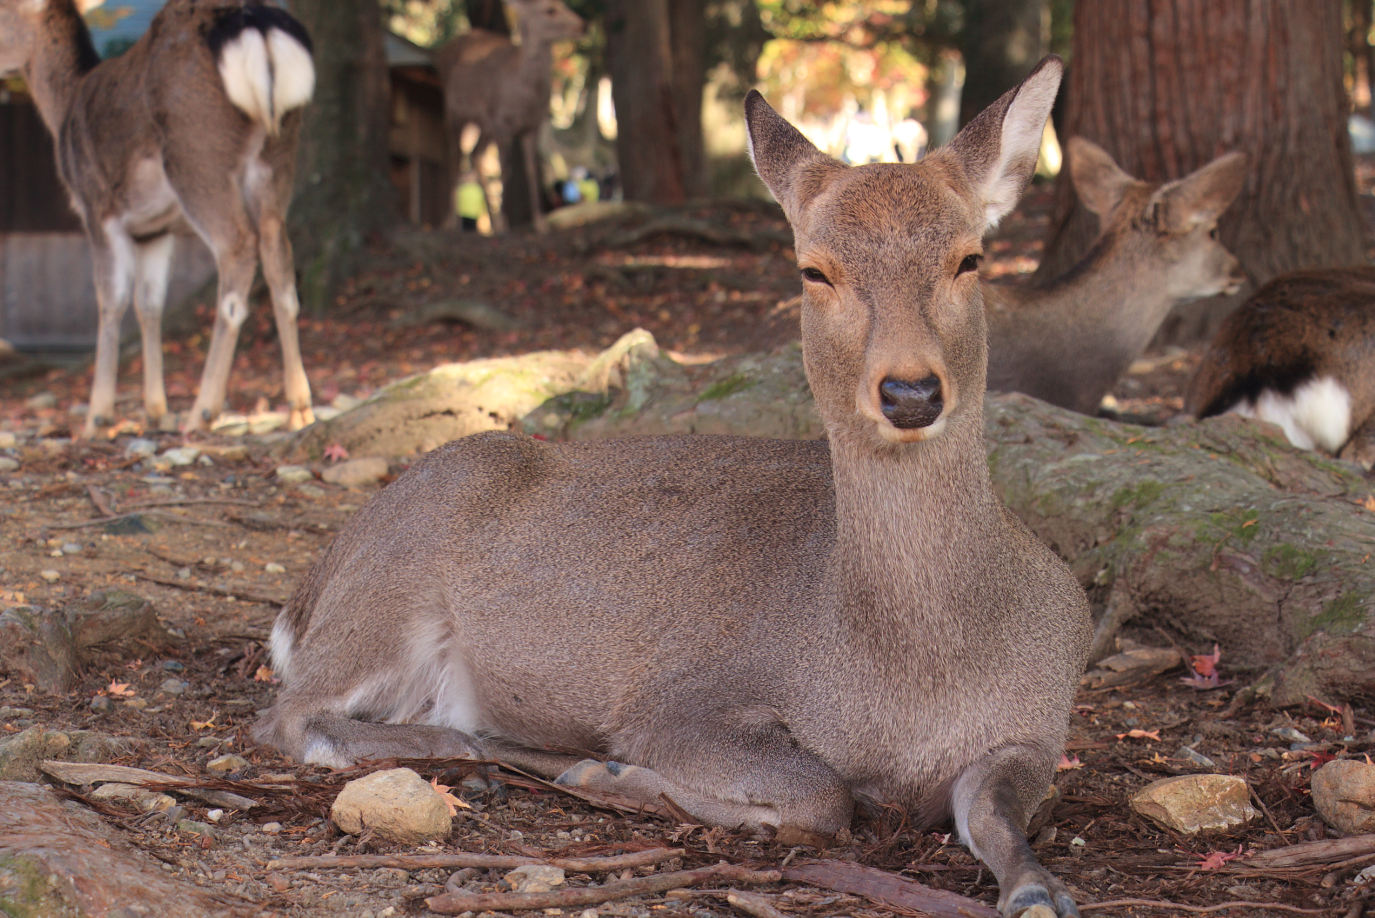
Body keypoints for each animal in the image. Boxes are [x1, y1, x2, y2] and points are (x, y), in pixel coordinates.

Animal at [0, 0, 314, 439]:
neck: (63, 109)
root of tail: (257, 24)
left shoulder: (99, 209)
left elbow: (111, 300)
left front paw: (97, 418)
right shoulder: (155, 231)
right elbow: (150, 304)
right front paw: (155, 410)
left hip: (197, 154)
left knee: (237, 247)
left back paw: (203, 410)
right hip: (278, 154)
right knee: (278, 256)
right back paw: (300, 407)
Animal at [255, 57, 1094, 918]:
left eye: (970, 259)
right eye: (813, 268)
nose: (910, 391)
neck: (909, 685)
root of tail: (307, 596)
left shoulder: (1037, 727)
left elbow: (997, 816)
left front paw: (1039, 890)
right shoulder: (681, 703)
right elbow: (820, 792)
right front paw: (612, 772)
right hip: (386, 599)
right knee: (286, 716)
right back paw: (462, 747)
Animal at [437, 0, 583, 233]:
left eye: (563, 5)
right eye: (550, 10)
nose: (583, 25)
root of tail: (441, 51)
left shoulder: (533, 125)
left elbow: (532, 170)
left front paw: (540, 223)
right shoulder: (501, 121)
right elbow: (506, 170)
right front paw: (505, 222)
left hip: (484, 125)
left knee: (476, 156)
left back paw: (490, 222)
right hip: (454, 111)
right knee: (455, 158)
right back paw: (450, 222)